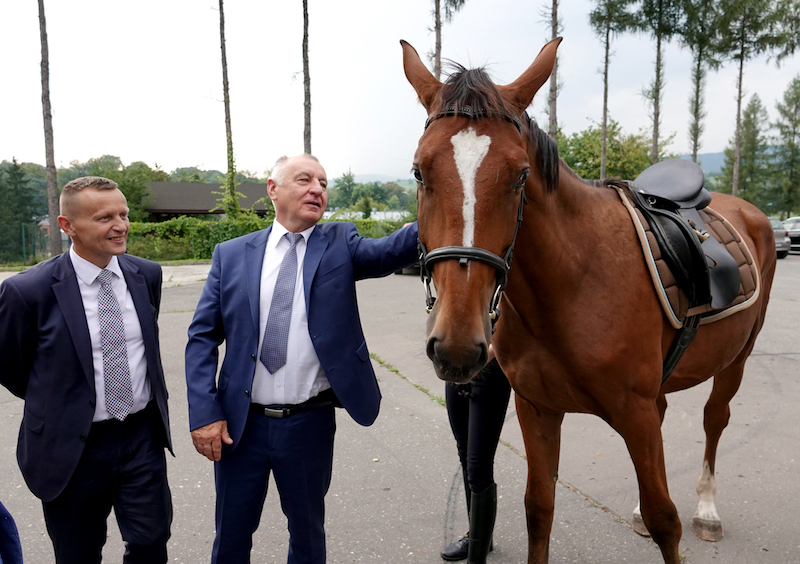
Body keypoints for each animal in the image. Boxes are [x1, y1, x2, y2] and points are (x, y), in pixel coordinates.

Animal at [404, 38, 780, 564]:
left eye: (521, 176)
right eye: (419, 172)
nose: (457, 346)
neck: (573, 285)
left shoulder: (635, 414)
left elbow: (667, 520)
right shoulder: (537, 409)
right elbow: (539, 508)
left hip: (737, 359)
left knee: (714, 418)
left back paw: (708, 509)